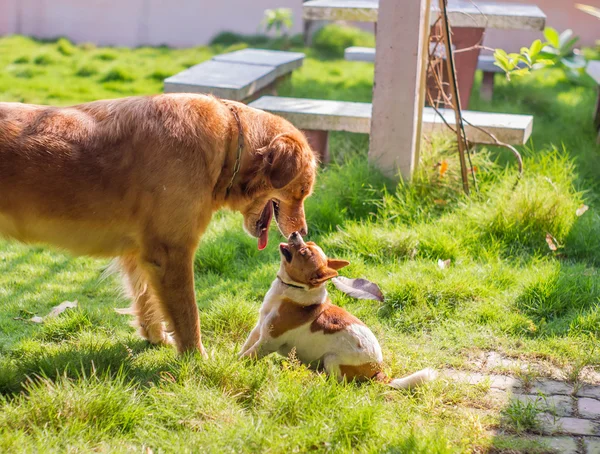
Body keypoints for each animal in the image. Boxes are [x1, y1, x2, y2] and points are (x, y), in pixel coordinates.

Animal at [0, 93, 318, 354]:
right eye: (302, 192)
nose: (302, 233)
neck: (229, 141)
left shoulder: (139, 254)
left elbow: (146, 302)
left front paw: (156, 338)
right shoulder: (172, 252)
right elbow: (189, 315)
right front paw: (196, 359)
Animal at [239, 232, 436, 388]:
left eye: (304, 252)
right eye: (309, 243)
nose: (295, 232)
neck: (292, 289)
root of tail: (379, 371)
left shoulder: (268, 342)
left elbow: (249, 355)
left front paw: (235, 364)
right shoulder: (258, 329)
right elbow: (245, 347)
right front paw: (235, 356)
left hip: (332, 359)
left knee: (339, 382)